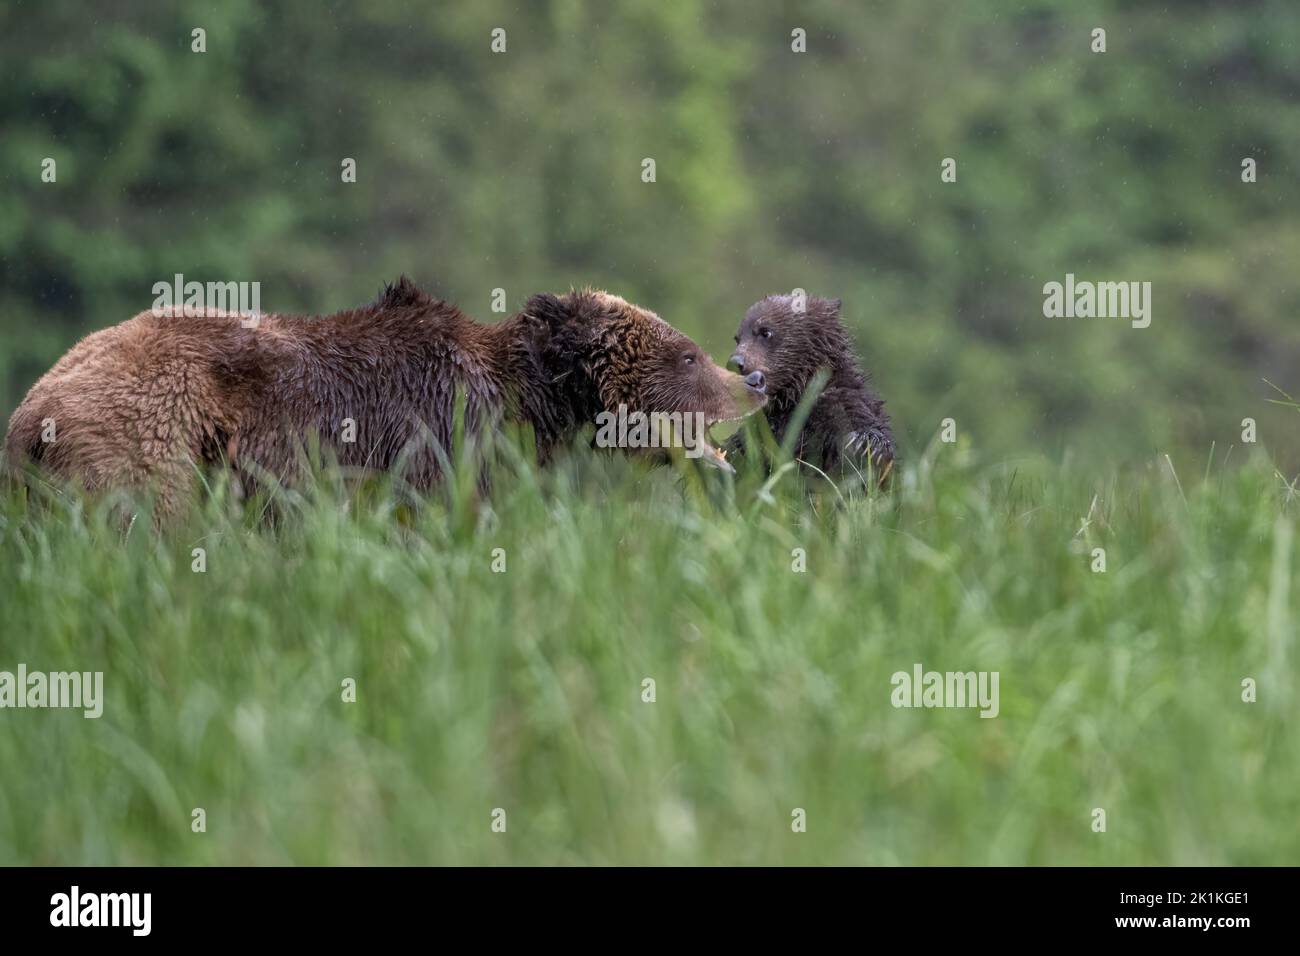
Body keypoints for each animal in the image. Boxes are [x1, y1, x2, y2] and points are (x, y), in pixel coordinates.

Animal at [722, 293, 894, 478]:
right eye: (737, 338)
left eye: (765, 331)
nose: (735, 362)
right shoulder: (764, 425)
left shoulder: (844, 403)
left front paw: (864, 445)